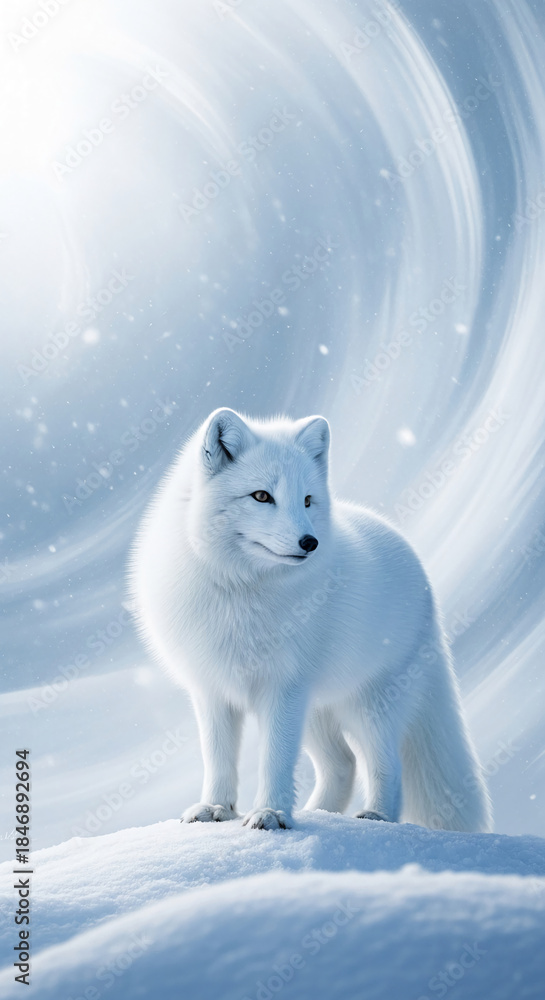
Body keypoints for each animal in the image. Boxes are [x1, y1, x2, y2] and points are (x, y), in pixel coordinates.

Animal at [129, 407, 492, 833]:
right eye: (261, 496)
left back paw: (376, 816)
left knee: (385, 762)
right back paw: (319, 814)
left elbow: (275, 759)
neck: (241, 589)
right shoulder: (212, 688)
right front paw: (216, 808)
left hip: (370, 705)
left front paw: (269, 814)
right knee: (344, 764)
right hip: (317, 712)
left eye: (306, 500)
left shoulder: (283, 688)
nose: (310, 542)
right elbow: (218, 759)